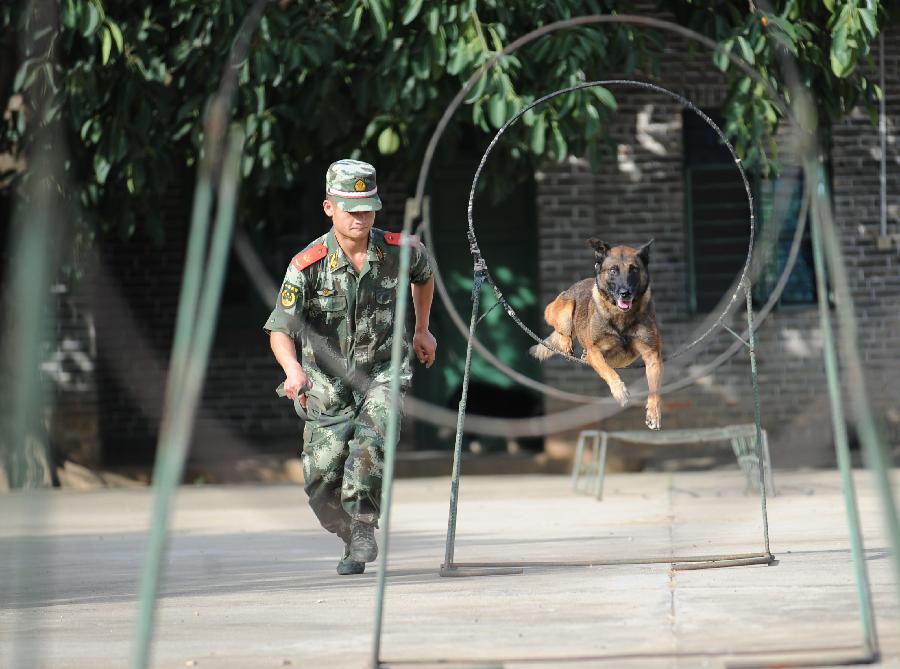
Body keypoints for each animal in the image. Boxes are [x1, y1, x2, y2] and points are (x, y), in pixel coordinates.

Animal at [528, 237, 660, 430]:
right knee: (562, 330)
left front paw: (654, 413)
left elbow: (654, 389)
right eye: (613, 270)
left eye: (634, 269)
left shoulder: (652, 356)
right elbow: (608, 371)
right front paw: (620, 391)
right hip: (563, 308)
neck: (621, 317)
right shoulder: (595, 352)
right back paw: (566, 343)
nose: (625, 293)